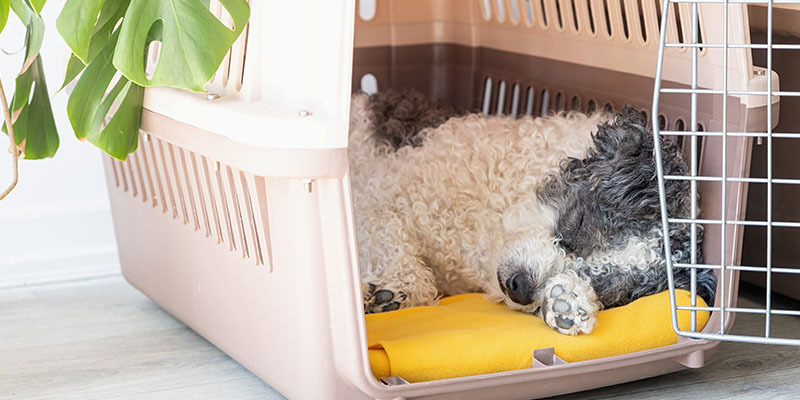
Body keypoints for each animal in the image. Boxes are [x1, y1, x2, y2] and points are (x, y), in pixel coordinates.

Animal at [346, 90, 716, 334]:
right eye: (578, 223)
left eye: (608, 290)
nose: (520, 286)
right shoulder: (370, 204)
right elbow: (396, 243)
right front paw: (394, 292)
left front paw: (568, 302)